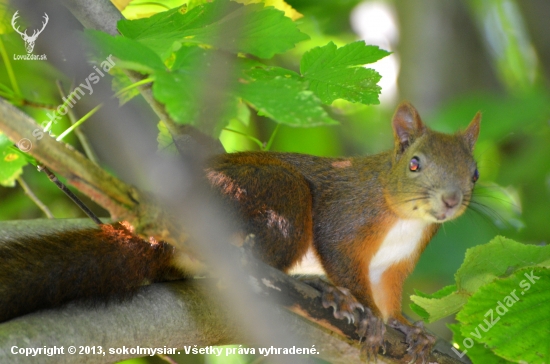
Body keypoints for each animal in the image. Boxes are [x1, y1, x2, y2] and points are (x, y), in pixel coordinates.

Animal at [0, 101, 480, 362]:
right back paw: (320, 287)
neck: (405, 221)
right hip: (278, 196)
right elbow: (341, 257)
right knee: (260, 264)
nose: (451, 200)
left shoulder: (395, 265)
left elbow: (390, 293)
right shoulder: (345, 216)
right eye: (414, 163)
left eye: (475, 172)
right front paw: (369, 313)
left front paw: (408, 327)